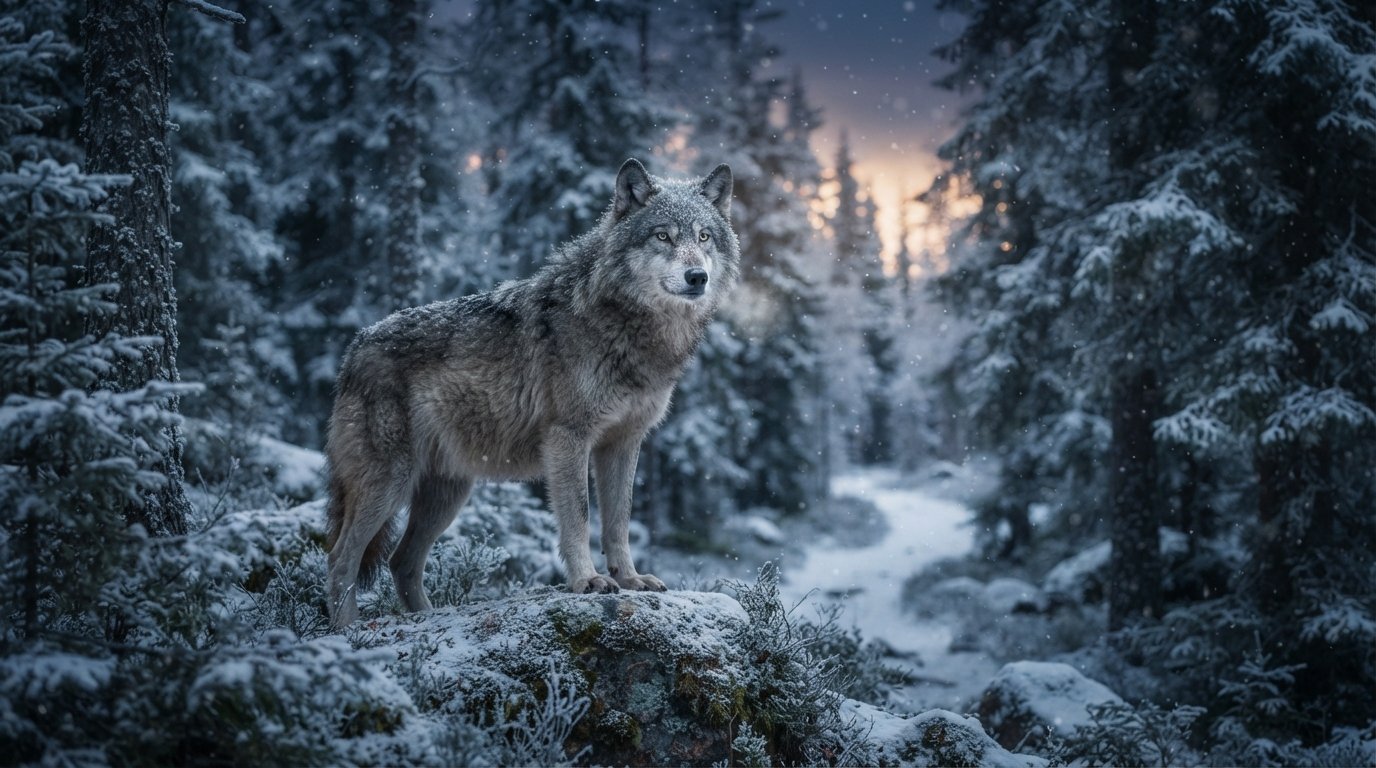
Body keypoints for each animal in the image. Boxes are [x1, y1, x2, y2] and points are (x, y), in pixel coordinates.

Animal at [324, 158, 739, 628]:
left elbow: (619, 520)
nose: (697, 277)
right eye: (663, 236)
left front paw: (630, 579)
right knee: (341, 559)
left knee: (401, 561)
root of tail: (355, 347)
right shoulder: (568, 438)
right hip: (388, 484)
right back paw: (348, 634)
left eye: (703, 236)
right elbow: (579, 515)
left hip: (447, 496)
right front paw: (587, 581)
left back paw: (428, 619)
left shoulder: (624, 442)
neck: (628, 327)